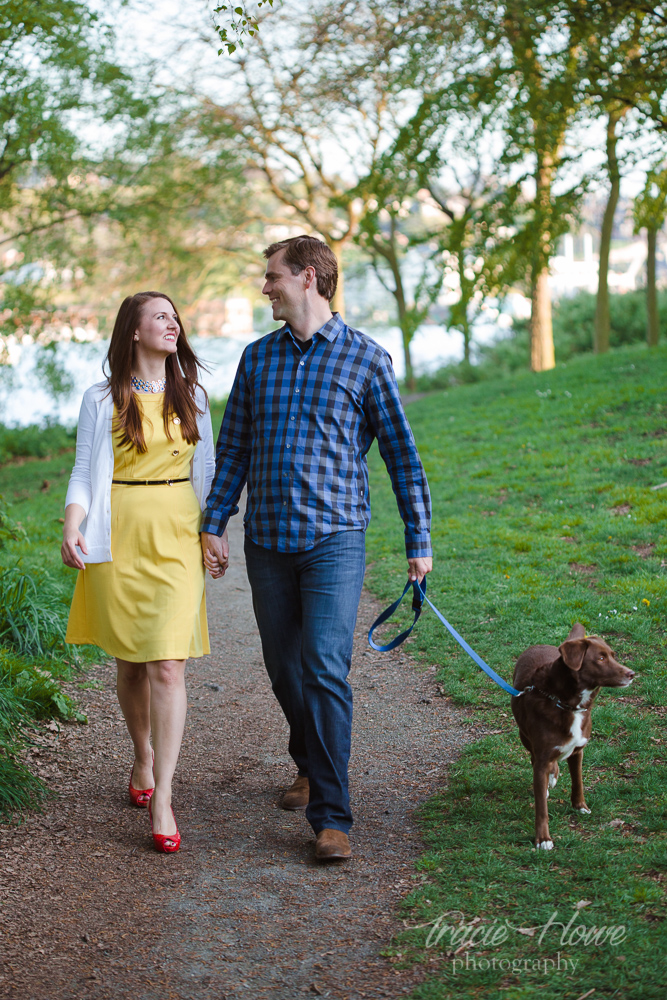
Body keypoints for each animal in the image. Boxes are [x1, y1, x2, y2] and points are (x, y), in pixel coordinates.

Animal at [512, 624, 636, 852]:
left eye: (613, 655)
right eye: (601, 658)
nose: (631, 674)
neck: (567, 704)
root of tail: (538, 645)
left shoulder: (578, 750)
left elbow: (578, 782)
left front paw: (580, 807)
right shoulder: (542, 757)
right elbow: (541, 808)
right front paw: (543, 839)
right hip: (524, 737)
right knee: (534, 757)